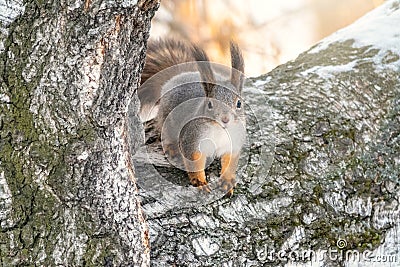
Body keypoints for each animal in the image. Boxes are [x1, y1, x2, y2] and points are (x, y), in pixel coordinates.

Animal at [138, 38, 247, 196]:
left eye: (239, 103)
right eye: (210, 104)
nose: (225, 119)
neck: (220, 131)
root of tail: (177, 77)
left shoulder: (233, 143)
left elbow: (230, 161)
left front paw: (227, 181)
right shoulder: (192, 140)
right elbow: (194, 162)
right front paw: (200, 183)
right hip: (167, 120)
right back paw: (172, 148)